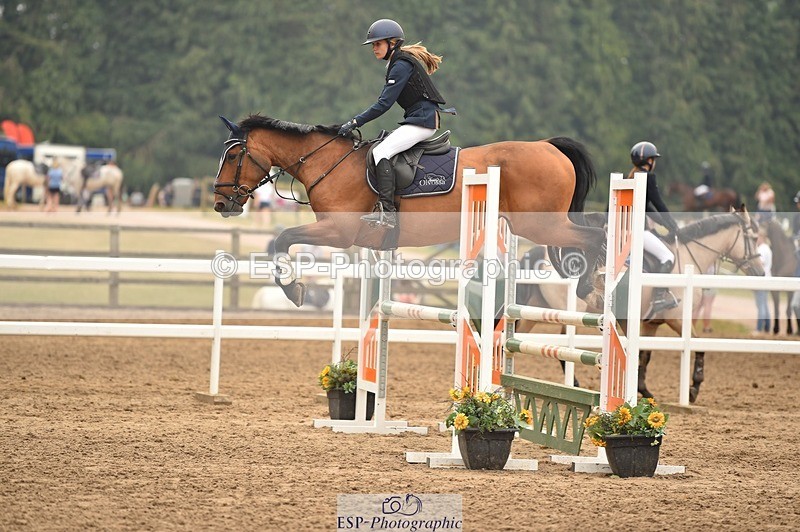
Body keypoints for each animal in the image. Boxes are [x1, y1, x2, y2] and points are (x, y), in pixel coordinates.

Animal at [212, 114, 606, 307]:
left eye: (232, 156)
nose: (220, 203)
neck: (327, 161)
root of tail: (549, 146)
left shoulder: (338, 232)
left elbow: (283, 238)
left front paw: (293, 288)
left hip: (540, 225)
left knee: (595, 234)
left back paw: (589, 288)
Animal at [516, 208, 763, 403]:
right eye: (753, 237)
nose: (760, 271)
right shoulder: (676, 318)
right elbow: (698, 345)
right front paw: (694, 388)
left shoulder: (650, 324)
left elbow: (644, 355)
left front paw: (644, 390)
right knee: (560, 345)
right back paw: (573, 384)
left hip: (535, 309)